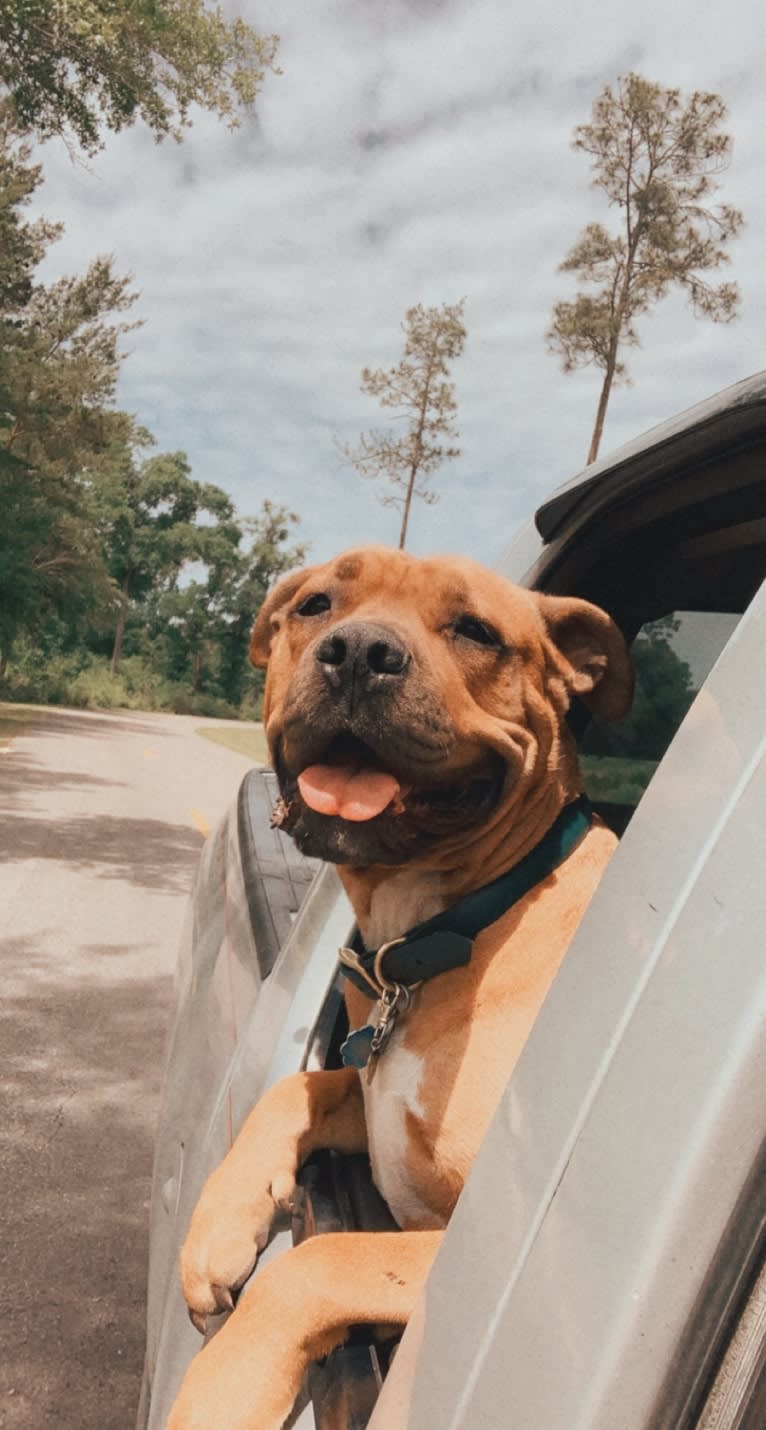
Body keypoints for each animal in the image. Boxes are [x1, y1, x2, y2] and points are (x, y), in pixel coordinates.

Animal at [169, 540, 634, 1424]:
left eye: (477, 631)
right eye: (317, 605)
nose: (358, 652)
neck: (445, 929)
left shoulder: (462, 1252)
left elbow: (321, 1262)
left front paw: (220, 1392)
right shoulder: (374, 1106)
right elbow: (296, 1089)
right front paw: (218, 1223)